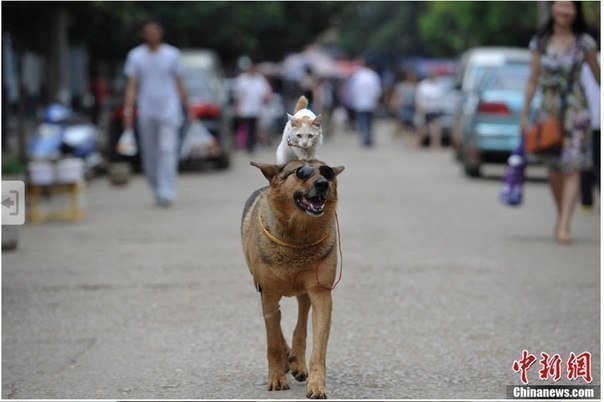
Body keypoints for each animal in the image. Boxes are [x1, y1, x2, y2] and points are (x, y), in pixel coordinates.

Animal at [242, 159, 344, 398]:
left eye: (327, 172)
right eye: (301, 173)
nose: (323, 183)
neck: (298, 237)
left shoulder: (321, 294)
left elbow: (318, 347)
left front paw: (316, 384)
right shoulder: (268, 293)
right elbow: (272, 342)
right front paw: (276, 377)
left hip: (304, 291)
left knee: (301, 321)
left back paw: (296, 361)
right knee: (278, 326)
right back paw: (287, 358)